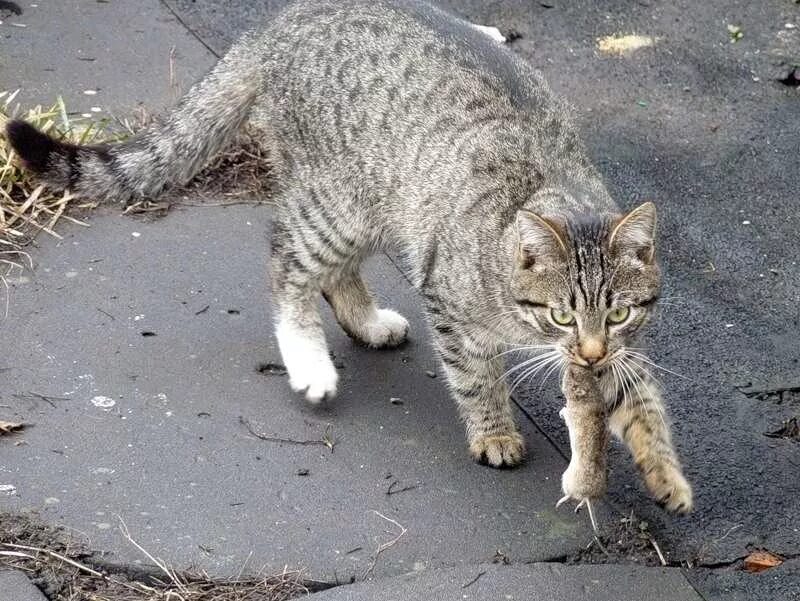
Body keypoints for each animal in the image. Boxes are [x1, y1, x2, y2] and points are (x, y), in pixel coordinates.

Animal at [6, 0, 692, 510]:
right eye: (560, 314)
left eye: (619, 314)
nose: (589, 351)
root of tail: (286, 19)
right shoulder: (448, 296)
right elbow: (476, 376)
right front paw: (495, 430)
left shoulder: (624, 348)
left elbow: (644, 402)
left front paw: (664, 473)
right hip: (338, 204)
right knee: (286, 259)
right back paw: (309, 358)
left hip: (364, 206)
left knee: (333, 274)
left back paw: (364, 319)